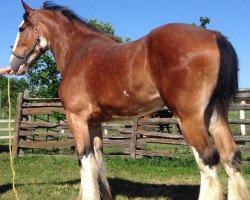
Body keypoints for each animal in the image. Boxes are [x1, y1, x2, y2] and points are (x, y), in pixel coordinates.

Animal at [9, 0, 248, 199]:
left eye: (21, 28)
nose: (13, 64)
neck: (78, 52)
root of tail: (214, 35)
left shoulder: (76, 119)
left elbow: (84, 158)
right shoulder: (94, 123)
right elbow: (98, 159)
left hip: (189, 119)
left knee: (208, 161)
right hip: (215, 117)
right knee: (231, 158)